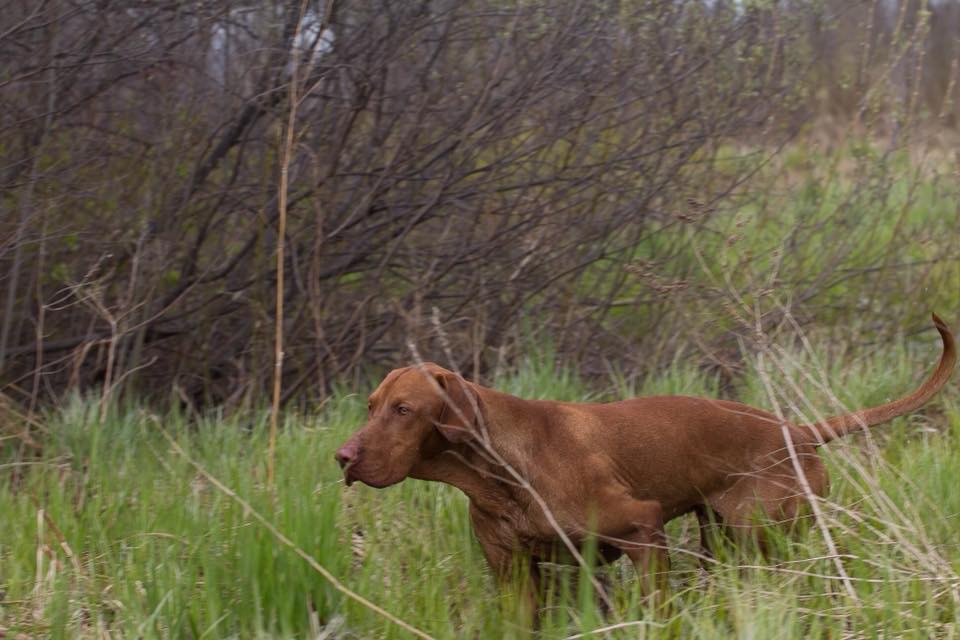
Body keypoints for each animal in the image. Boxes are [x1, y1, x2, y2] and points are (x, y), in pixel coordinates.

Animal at [336, 316, 952, 604]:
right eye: (369, 406)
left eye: (403, 409)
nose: (341, 456)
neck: (501, 475)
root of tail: (797, 430)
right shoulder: (513, 573)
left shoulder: (643, 532)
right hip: (723, 540)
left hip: (767, 537)